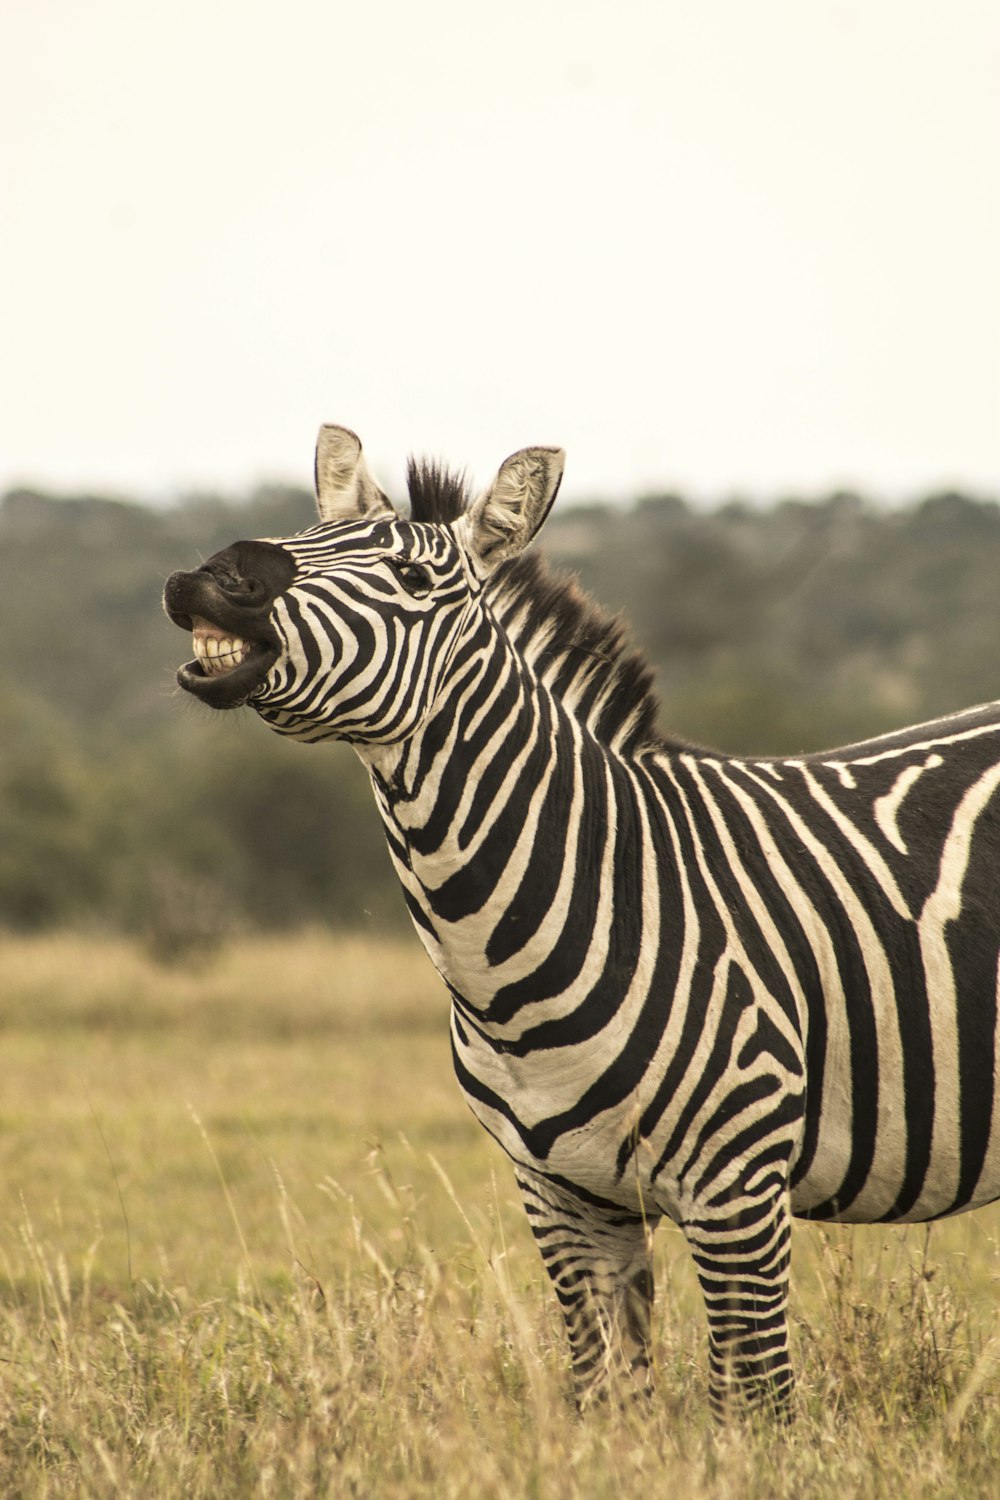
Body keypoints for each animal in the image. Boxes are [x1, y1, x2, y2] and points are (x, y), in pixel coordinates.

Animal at [164, 426, 1000, 1416]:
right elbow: (608, 1399)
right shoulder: (565, 1199)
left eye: (411, 577)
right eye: (302, 534)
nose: (219, 574)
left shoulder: (741, 1191)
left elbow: (752, 1405)